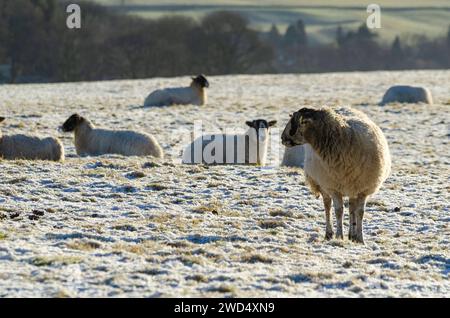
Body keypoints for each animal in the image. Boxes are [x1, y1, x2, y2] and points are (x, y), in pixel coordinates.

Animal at [282, 107, 390, 243]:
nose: (282, 138)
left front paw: (360, 238)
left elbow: (360, 212)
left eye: (294, 122)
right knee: (327, 206)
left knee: (351, 208)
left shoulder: (363, 189)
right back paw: (329, 233)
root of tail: (342, 107)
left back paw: (352, 234)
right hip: (323, 184)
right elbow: (338, 211)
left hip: (352, 185)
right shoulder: (333, 188)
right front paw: (339, 236)